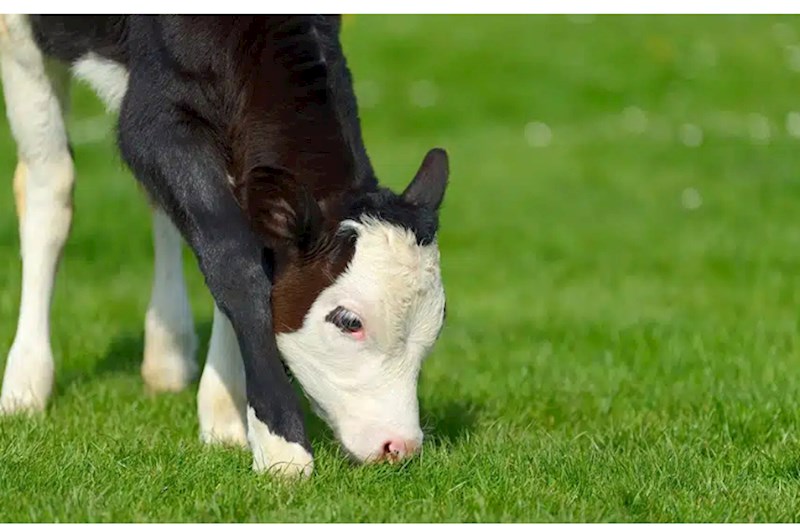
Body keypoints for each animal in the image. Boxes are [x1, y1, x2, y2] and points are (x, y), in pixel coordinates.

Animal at [0, 15, 450, 478]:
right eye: (348, 321)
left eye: (439, 321)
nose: (399, 446)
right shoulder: (153, 116)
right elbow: (231, 253)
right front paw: (280, 445)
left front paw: (222, 409)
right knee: (49, 187)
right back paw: (25, 382)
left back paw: (167, 354)